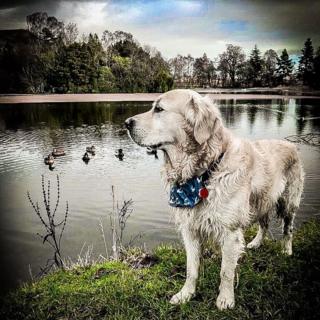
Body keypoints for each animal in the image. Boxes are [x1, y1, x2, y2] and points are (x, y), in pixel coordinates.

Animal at [124, 89, 304, 310]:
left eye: (159, 109)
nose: (126, 123)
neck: (204, 172)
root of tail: (290, 144)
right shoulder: (190, 230)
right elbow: (191, 269)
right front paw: (186, 294)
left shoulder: (230, 232)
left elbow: (226, 271)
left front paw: (225, 299)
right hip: (262, 199)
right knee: (264, 223)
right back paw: (256, 243)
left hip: (288, 202)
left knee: (288, 228)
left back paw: (287, 250)